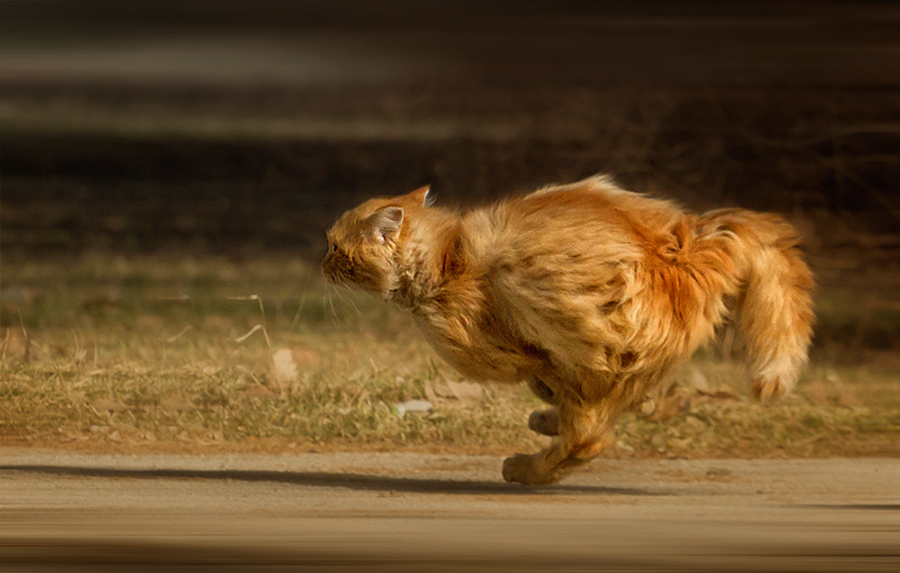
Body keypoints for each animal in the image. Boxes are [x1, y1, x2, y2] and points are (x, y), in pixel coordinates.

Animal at [322, 174, 816, 482]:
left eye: (334, 247)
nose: (322, 264)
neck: (446, 256)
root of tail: (686, 244)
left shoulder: (516, 349)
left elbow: (548, 381)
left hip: (537, 291)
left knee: (589, 441)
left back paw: (525, 469)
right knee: (607, 414)